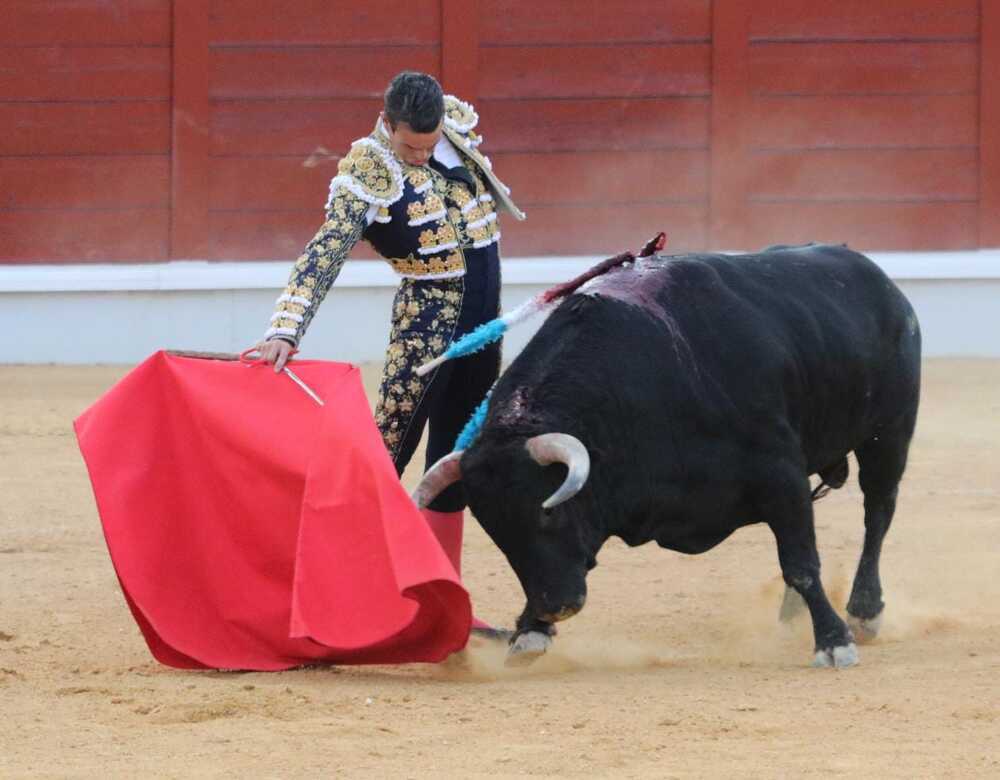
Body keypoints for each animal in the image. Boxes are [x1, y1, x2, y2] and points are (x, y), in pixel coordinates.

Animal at [412, 242, 920, 664]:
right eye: (496, 531)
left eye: (548, 513)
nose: (554, 608)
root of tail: (879, 281)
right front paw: (529, 633)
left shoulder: (781, 475)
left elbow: (799, 563)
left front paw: (833, 642)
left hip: (888, 434)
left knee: (878, 513)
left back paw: (864, 611)